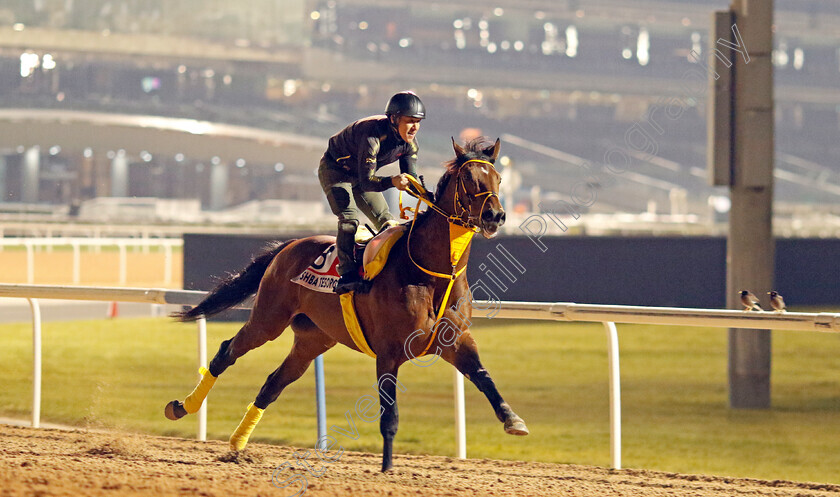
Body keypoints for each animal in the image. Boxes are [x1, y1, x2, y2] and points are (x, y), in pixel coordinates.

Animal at [165, 135, 528, 468]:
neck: (432, 274)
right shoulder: (389, 352)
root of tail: (288, 245)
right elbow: (389, 415)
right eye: (468, 178)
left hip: (313, 339)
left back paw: (237, 445)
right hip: (268, 319)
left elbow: (483, 376)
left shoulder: (456, 340)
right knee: (227, 352)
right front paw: (386, 466)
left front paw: (513, 419)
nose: (495, 215)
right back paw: (182, 407)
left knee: (273, 384)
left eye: (497, 177)